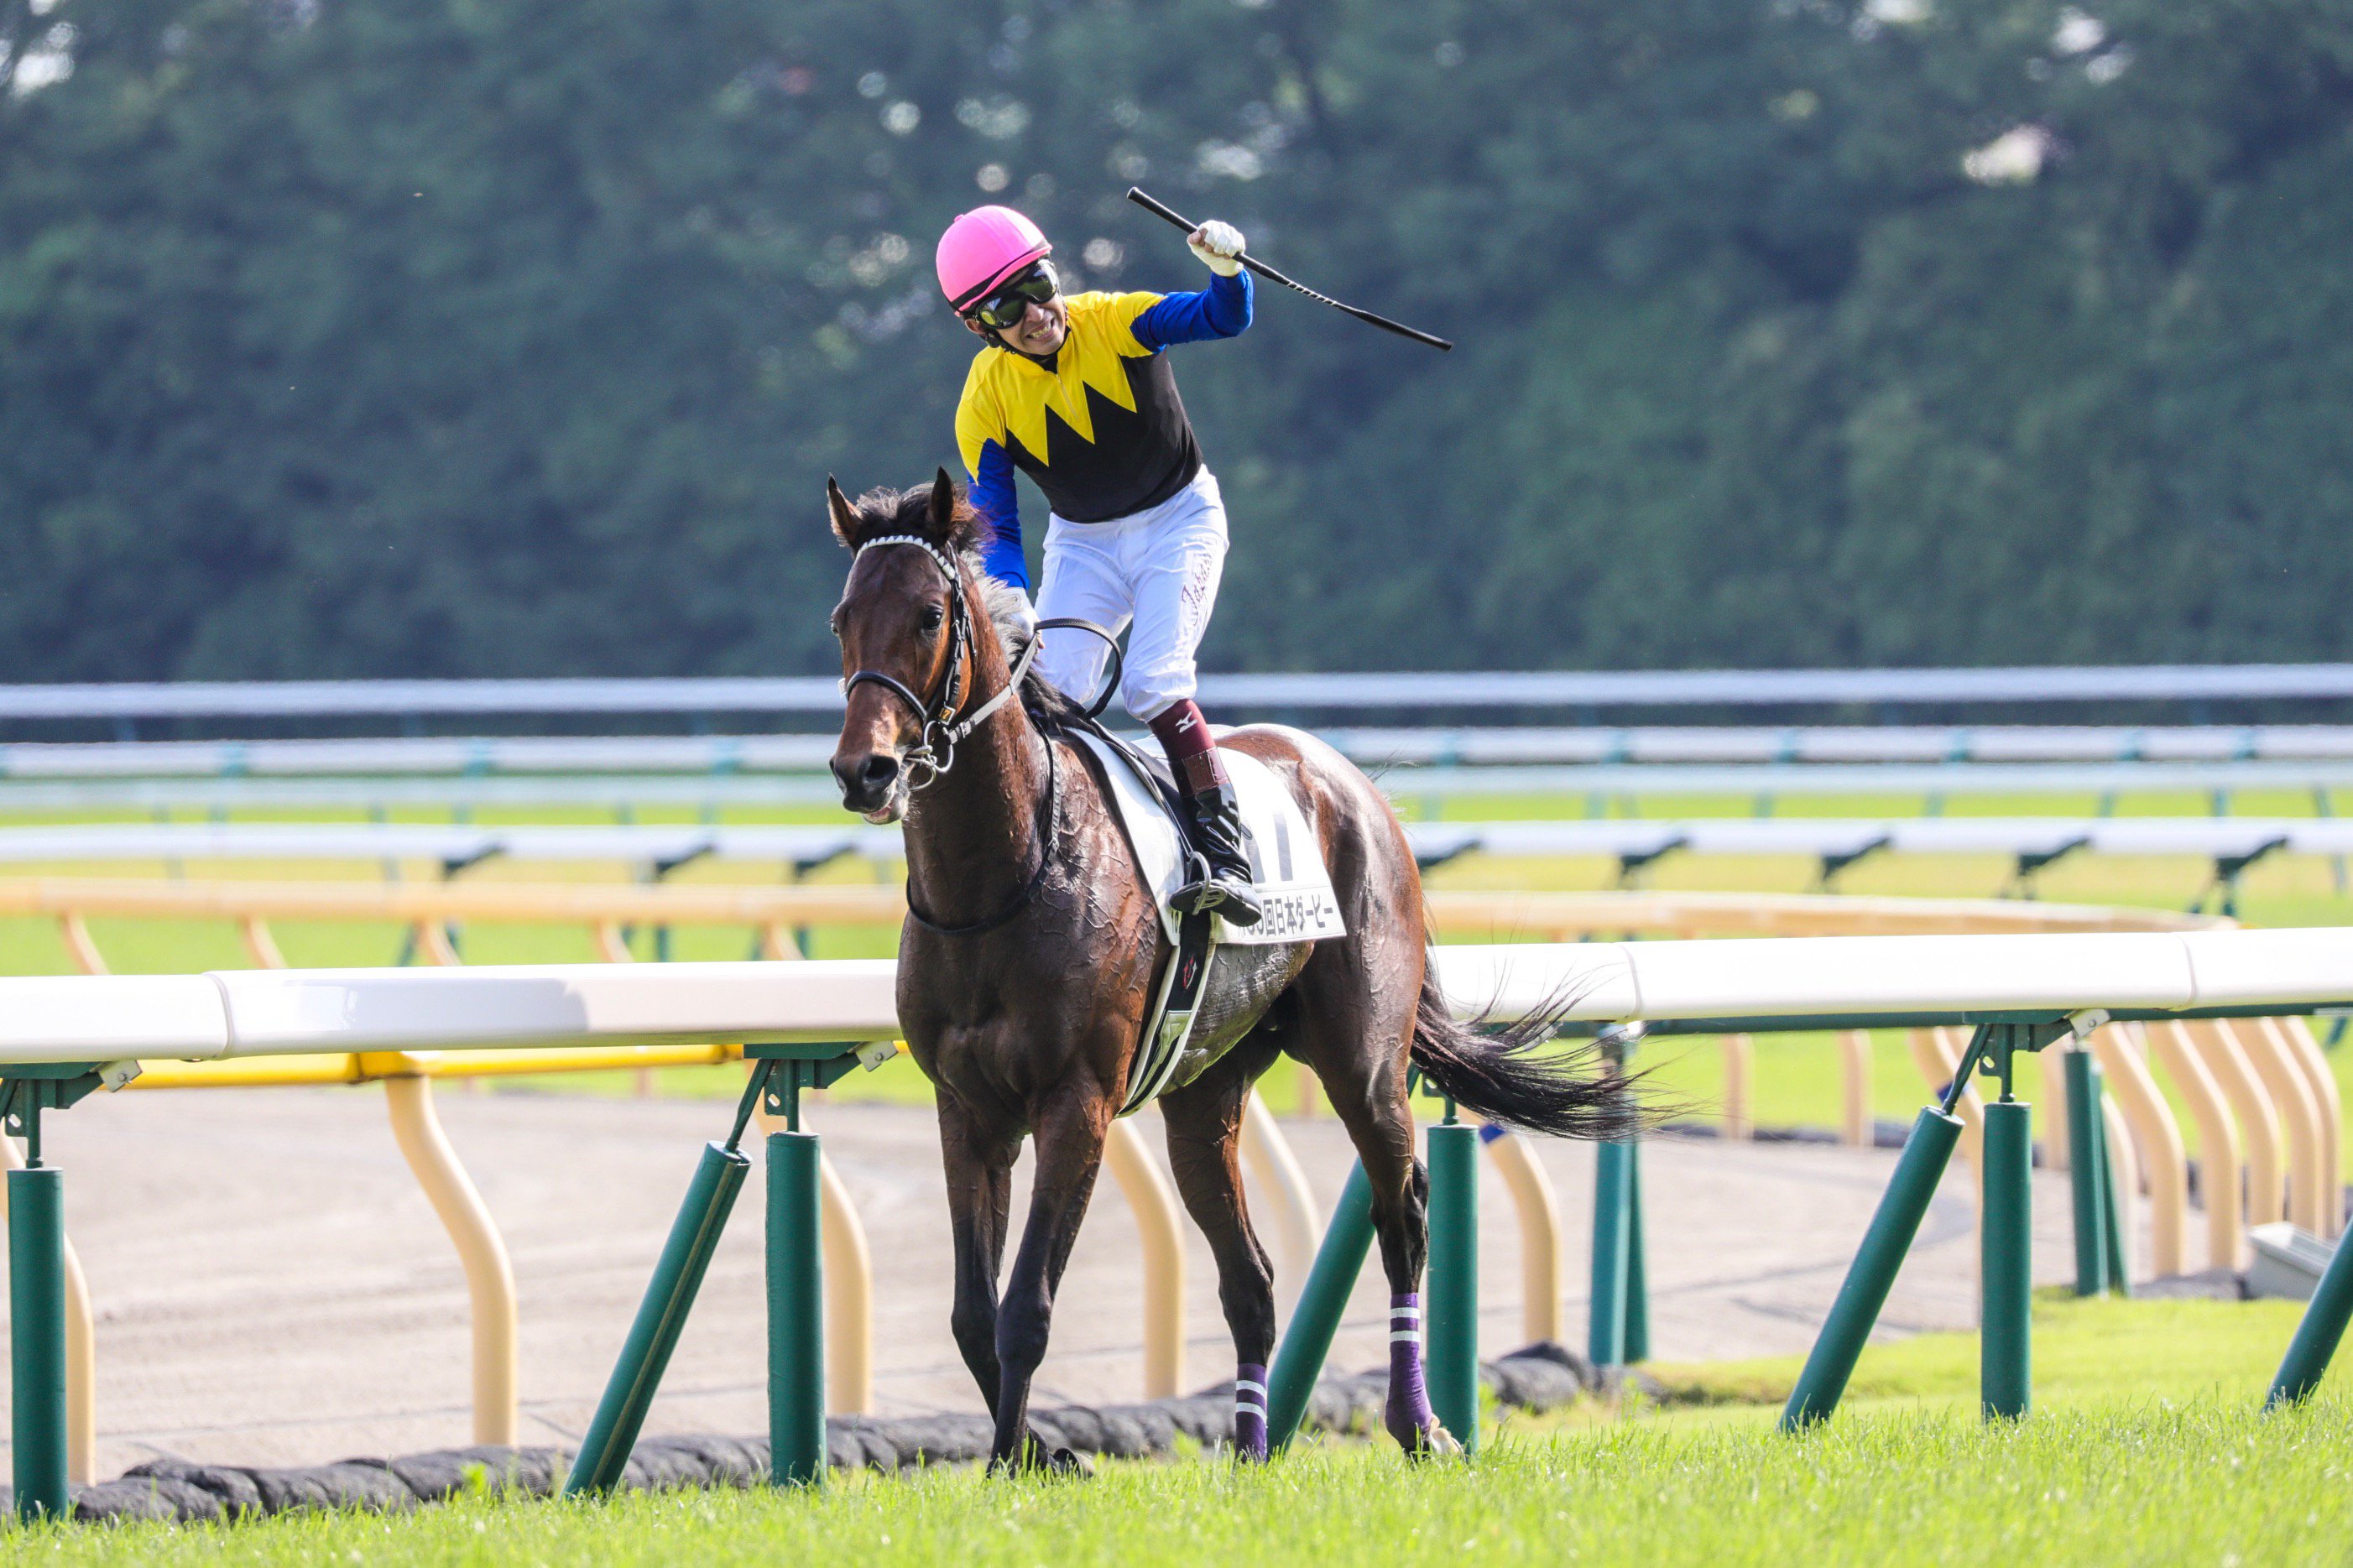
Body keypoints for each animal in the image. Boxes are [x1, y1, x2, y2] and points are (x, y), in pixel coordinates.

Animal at [832, 470, 1637, 1476]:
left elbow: (1025, 1311)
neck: (1007, 874)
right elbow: (972, 1315)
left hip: (1364, 1066)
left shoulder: (1076, 1101)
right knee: (1249, 1276)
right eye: (842, 617)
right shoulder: (965, 1109)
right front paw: (1036, 1455)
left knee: (1403, 1216)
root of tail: (1356, 785)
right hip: (1202, 1096)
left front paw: (1017, 1466)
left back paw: (1419, 1425)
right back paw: (1253, 1450)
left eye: (931, 614)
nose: (864, 770)